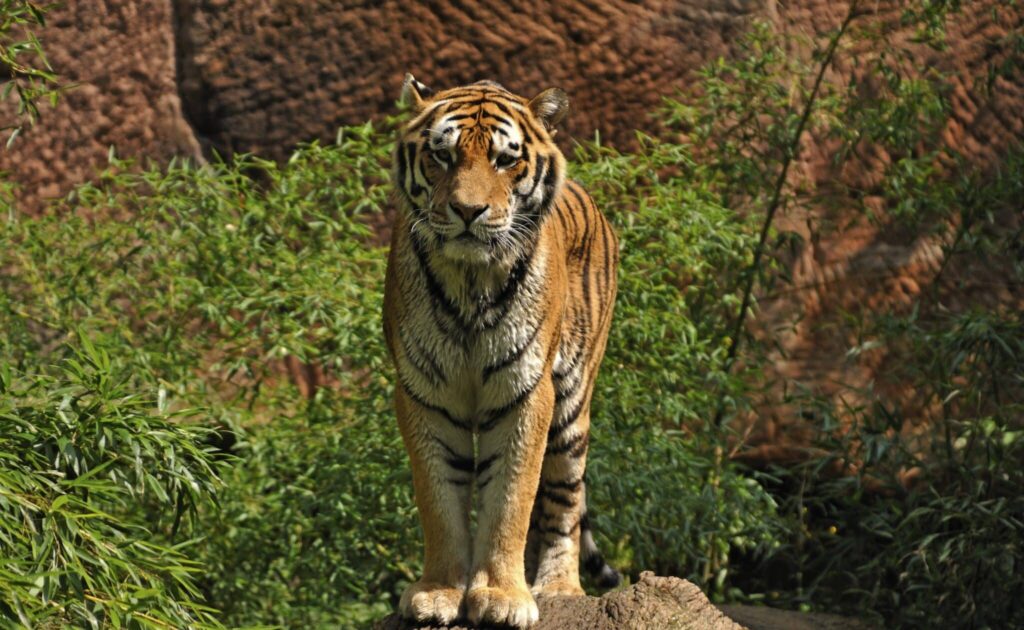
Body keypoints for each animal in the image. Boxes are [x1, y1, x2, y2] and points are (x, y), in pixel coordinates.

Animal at [383, 74, 620, 628]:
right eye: (442, 155)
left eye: (504, 160)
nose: (468, 211)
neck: (470, 282)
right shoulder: (425, 394)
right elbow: (439, 501)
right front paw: (439, 592)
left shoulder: (525, 393)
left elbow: (512, 498)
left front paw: (503, 595)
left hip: (571, 404)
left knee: (562, 503)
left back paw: (558, 587)